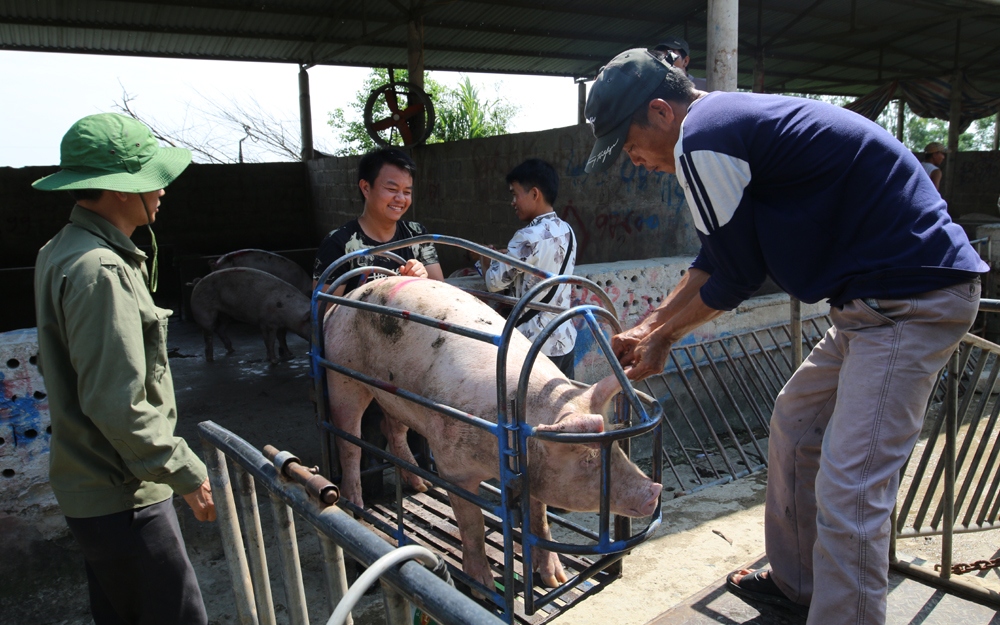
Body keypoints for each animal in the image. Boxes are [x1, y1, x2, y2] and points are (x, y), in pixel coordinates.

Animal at [322, 276, 664, 588]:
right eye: (587, 460)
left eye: (615, 448)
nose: (654, 490)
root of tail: (346, 296)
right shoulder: (453, 468)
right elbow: (472, 524)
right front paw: (484, 586)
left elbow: (539, 521)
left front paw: (555, 580)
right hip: (341, 373)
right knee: (349, 442)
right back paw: (356, 508)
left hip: (396, 393)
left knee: (392, 427)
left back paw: (420, 485)